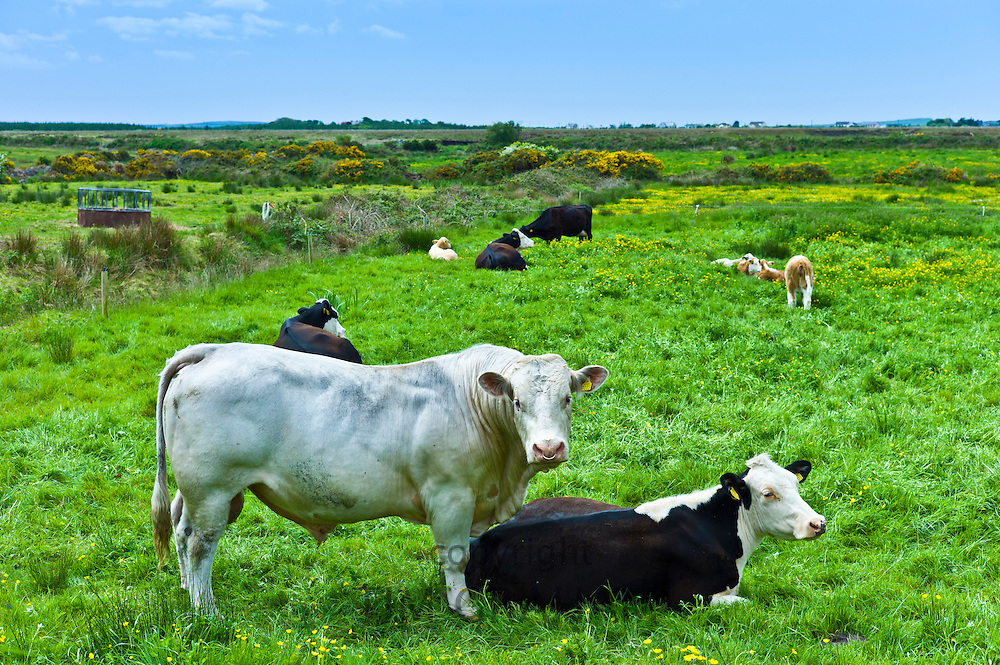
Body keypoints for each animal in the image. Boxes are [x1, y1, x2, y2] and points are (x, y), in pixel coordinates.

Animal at [151, 343, 609, 618]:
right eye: (516, 400)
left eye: (567, 398)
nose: (548, 448)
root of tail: (212, 350)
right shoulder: (451, 496)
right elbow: (456, 556)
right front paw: (462, 606)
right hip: (212, 489)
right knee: (200, 544)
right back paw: (206, 609)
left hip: (204, 492)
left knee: (180, 529)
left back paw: (185, 588)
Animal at [465, 454, 826, 610]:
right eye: (768, 493)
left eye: (795, 484)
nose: (817, 522)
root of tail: (479, 541)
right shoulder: (687, 597)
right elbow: (749, 603)